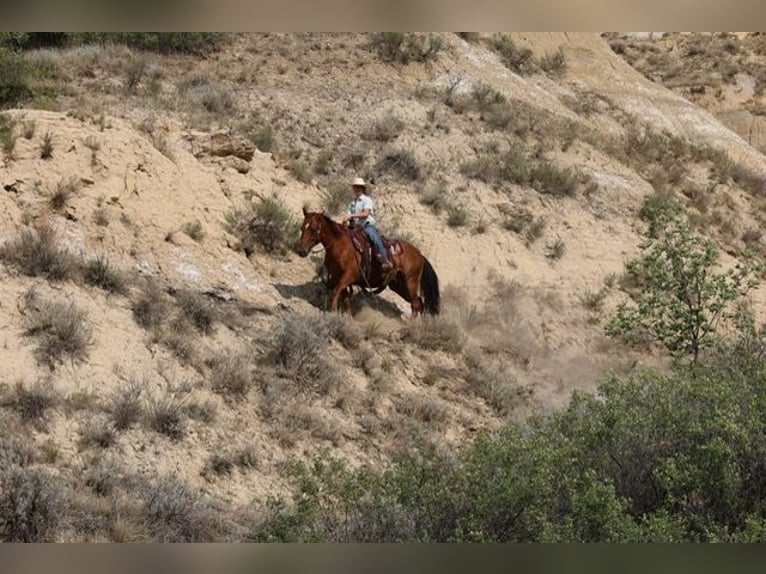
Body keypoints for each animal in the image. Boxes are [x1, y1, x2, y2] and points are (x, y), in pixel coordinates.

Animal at [296, 208, 440, 317]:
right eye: (302, 228)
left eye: (313, 228)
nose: (302, 251)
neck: (339, 245)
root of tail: (420, 255)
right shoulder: (338, 276)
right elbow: (345, 297)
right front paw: (347, 316)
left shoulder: (350, 275)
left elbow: (337, 291)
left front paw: (332, 311)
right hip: (398, 286)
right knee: (418, 303)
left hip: (411, 282)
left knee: (415, 304)